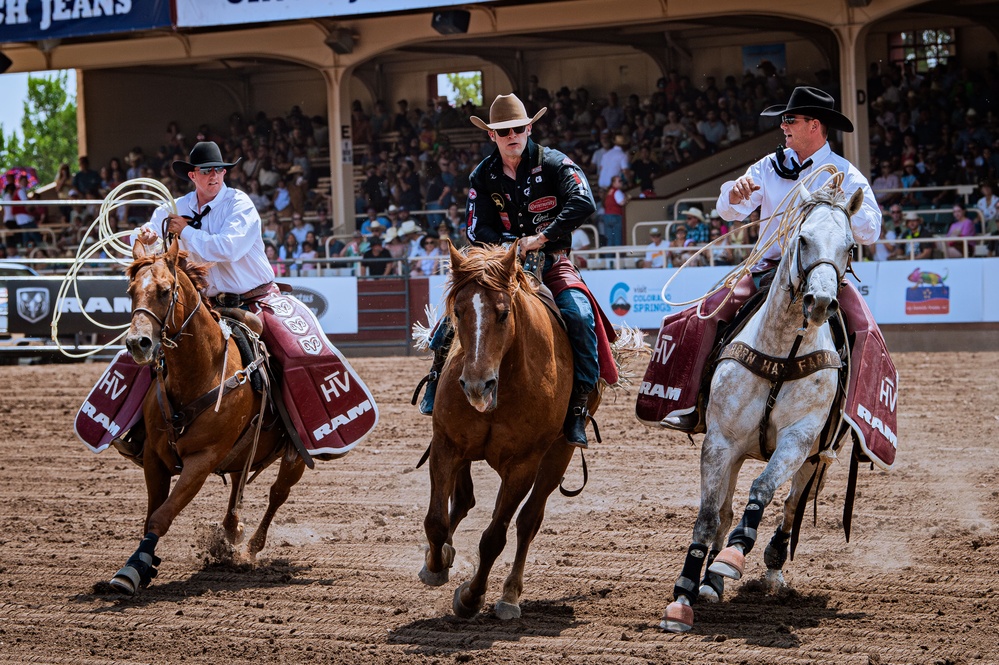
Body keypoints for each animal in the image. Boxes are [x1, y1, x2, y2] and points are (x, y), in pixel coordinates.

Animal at [107, 239, 304, 596]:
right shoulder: (154, 458)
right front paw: (140, 565)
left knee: (277, 494)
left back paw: (250, 548)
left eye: (165, 291)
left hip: (294, 458)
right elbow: (151, 515)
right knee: (238, 486)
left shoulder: (201, 461)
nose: (137, 343)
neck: (200, 371)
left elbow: (161, 516)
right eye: (130, 291)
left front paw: (134, 570)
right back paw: (231, 531)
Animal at [416, 241, 596, 620]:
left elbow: (494, 536)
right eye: (458, 312)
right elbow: (436, 521)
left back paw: (510, 595)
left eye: (502, 313)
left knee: (529, 521)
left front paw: (471, 597)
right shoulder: (445, 445)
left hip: (558, 454)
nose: (476, 385)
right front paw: (436, 565)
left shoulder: (522, 466)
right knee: (464, 501)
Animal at [660, 182, 864, 632]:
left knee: (790, 506)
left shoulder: (798, 439)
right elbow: (708, 515)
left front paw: (735, 556)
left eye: (851, 246)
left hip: (815, 459)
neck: (783, 352)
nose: (820, 302)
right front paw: (685, 593)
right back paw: (710, 582)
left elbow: (764, 490)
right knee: (724, 510)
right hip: (736, 452)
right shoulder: (720, 441)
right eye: (802, 239)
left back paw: (769, 565)